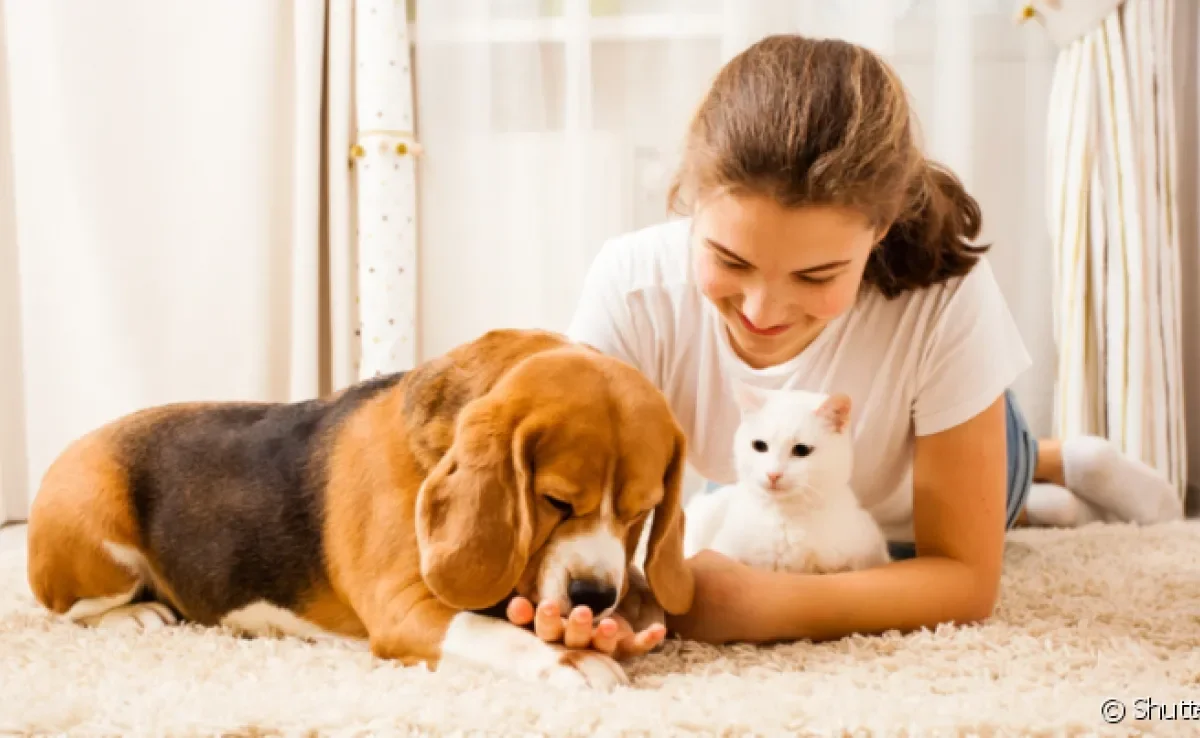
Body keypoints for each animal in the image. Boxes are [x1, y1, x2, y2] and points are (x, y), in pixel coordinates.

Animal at [25, 328, 696, 686]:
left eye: (640, 512)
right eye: (555, 500)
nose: (594, 597)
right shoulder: (405, 610)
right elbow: (489, 631)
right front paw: (570, 659)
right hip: (95, 531)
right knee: (70, 610)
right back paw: (136, 616)